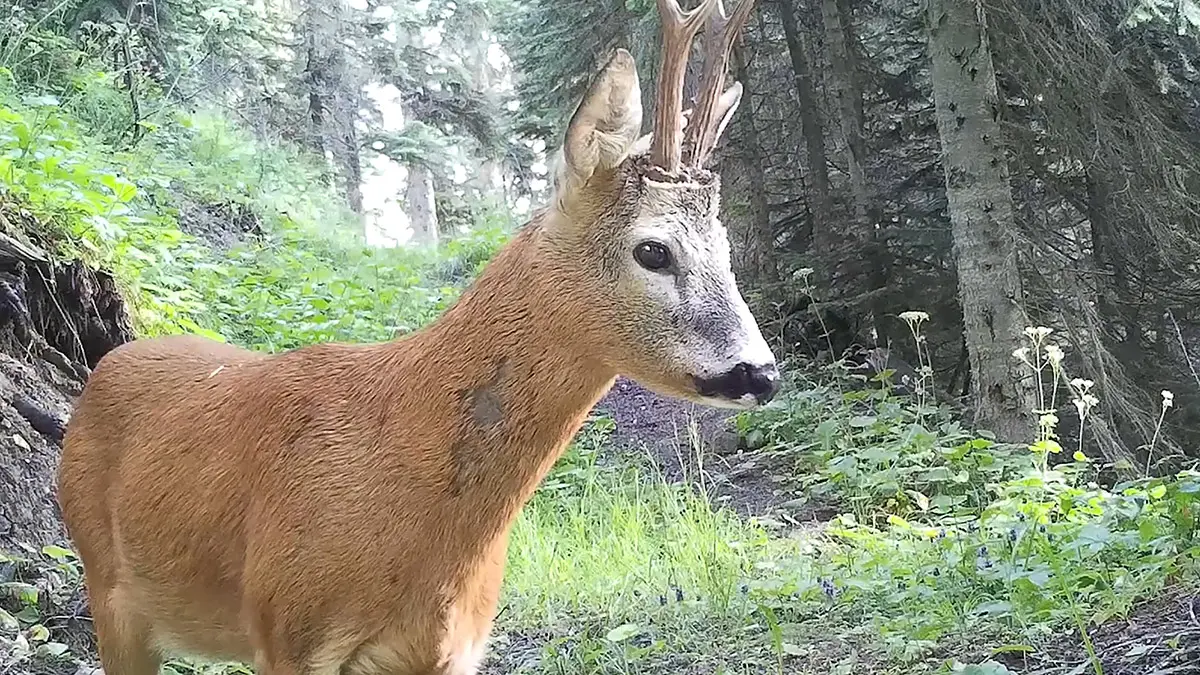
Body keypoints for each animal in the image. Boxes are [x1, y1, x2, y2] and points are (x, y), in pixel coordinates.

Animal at [56, 1, 772, 672]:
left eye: (726, 244)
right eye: (654, 250)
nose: (760, 372)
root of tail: (111, 360)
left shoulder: (451, 648)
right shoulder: (286, 630)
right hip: (105, 581)